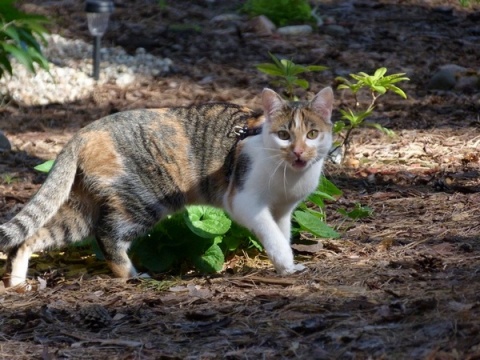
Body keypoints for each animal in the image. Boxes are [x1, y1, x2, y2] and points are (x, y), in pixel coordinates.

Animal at [0, 86, 334, 286]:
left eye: (312, 134)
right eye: (284, 135)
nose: (299, 152)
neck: (287, 175)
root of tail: (82, 132)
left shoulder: (283, 211)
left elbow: (282, 235)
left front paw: (285, 266)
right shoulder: (245, 202)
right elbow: (273, 237)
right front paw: (287, 266)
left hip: (82, 209)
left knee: (30, 237)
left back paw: (17, 281)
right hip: (143, 200)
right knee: (107, 235)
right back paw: (132, 275)